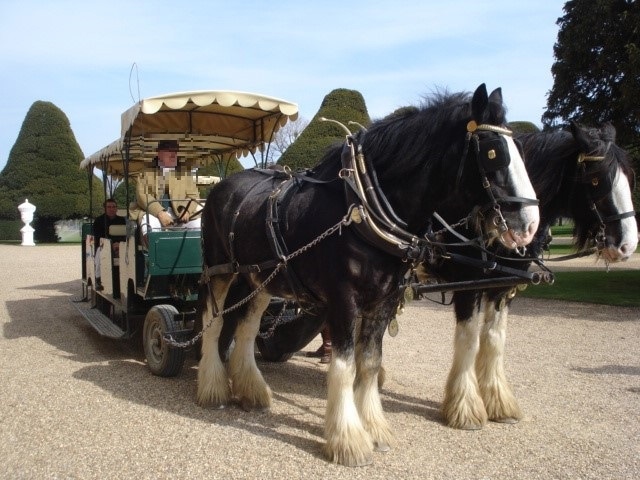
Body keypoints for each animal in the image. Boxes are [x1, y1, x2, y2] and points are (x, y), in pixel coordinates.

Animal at [198, 84, 536, 466]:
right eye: (494, 153)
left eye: (521, 151)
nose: (529, 225)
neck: (363, 204)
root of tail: (221, 187)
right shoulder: (344, 300)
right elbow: (345, 365)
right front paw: (348, 439)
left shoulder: (385, 300)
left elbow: (370, 363)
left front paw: (374, 428)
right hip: (219, 272)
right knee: (212, 321)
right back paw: (212, 388)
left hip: (260, 279)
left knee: (246, 327)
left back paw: (251, 390)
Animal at [432, 121, 636, 432]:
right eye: (596, 180)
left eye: (628, 178)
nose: (628, 244)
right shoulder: (469, 286)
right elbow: (469, 340)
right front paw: (465, 408)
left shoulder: (502, 288)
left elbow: (494, 338)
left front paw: (499, 402)